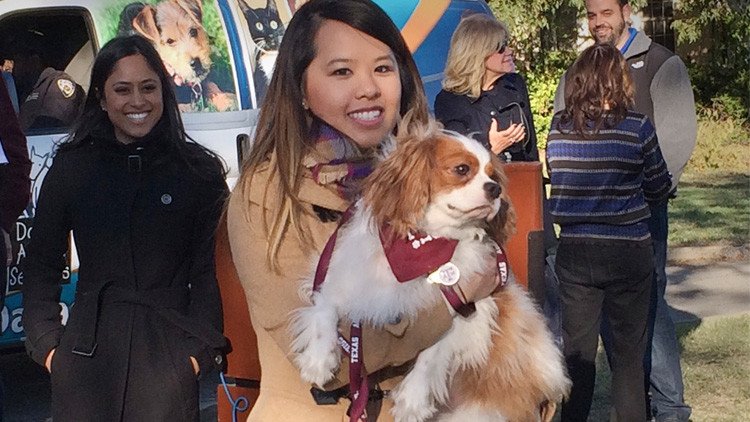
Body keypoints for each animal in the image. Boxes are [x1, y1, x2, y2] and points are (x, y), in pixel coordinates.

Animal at [290, 116, 570, 421]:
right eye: (462, 169)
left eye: (494, 178)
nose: (494, 189)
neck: (424, 243)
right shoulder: (343, 278)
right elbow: (325, 310)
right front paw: (318, 360)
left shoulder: (464, 311)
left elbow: (431, 353)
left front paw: (412, 400)